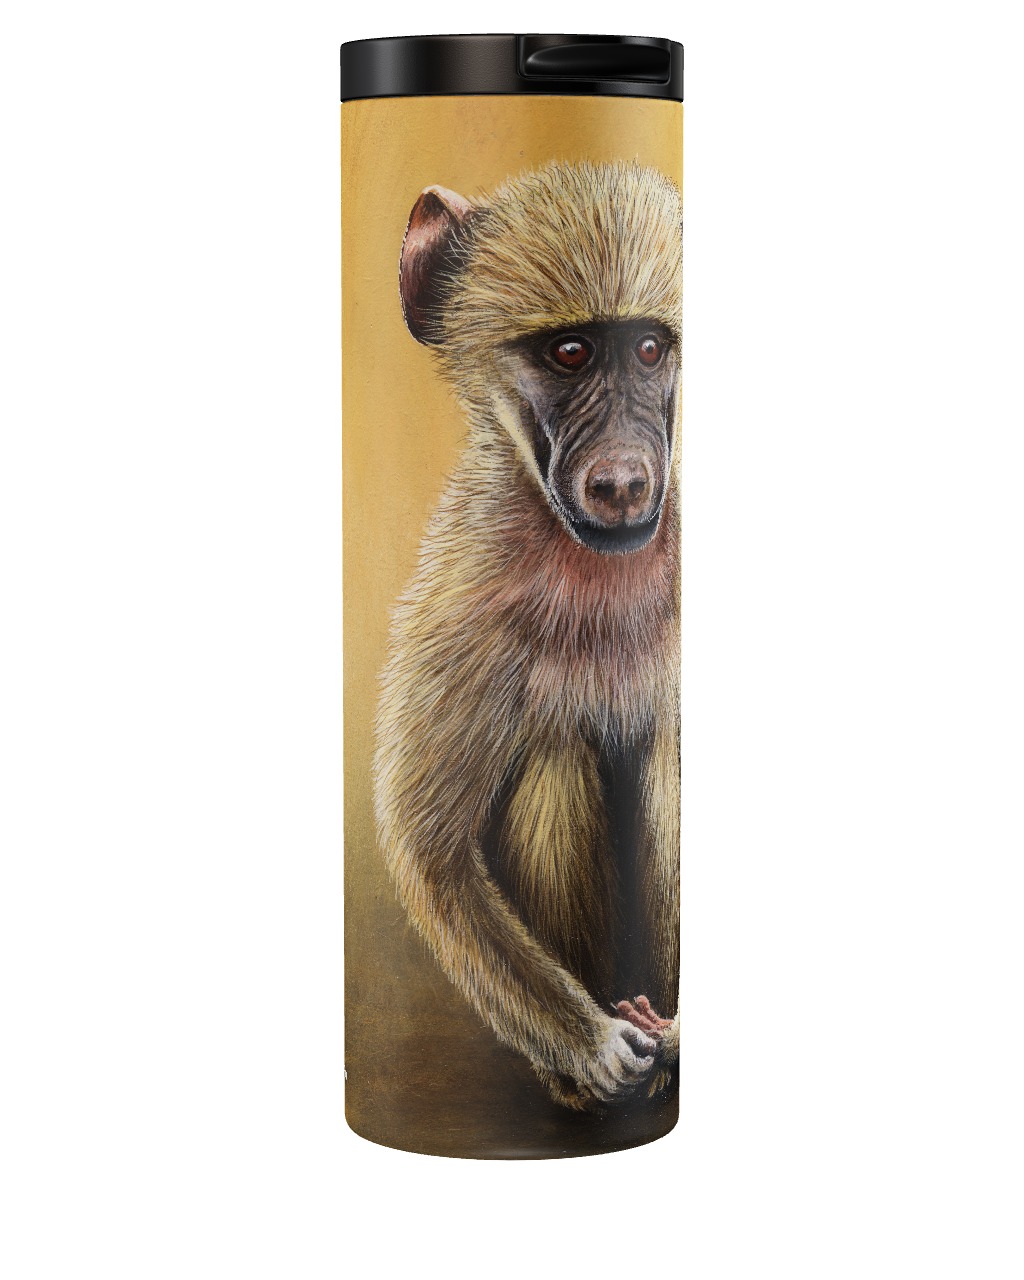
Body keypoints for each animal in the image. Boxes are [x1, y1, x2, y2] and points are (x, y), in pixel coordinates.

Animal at [373, 161, 681, 1110]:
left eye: (649, 349)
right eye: (569, 353)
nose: (622, 482)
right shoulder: (464, 601)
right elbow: (431, 856)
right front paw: (601, 1047)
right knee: (557, 745)